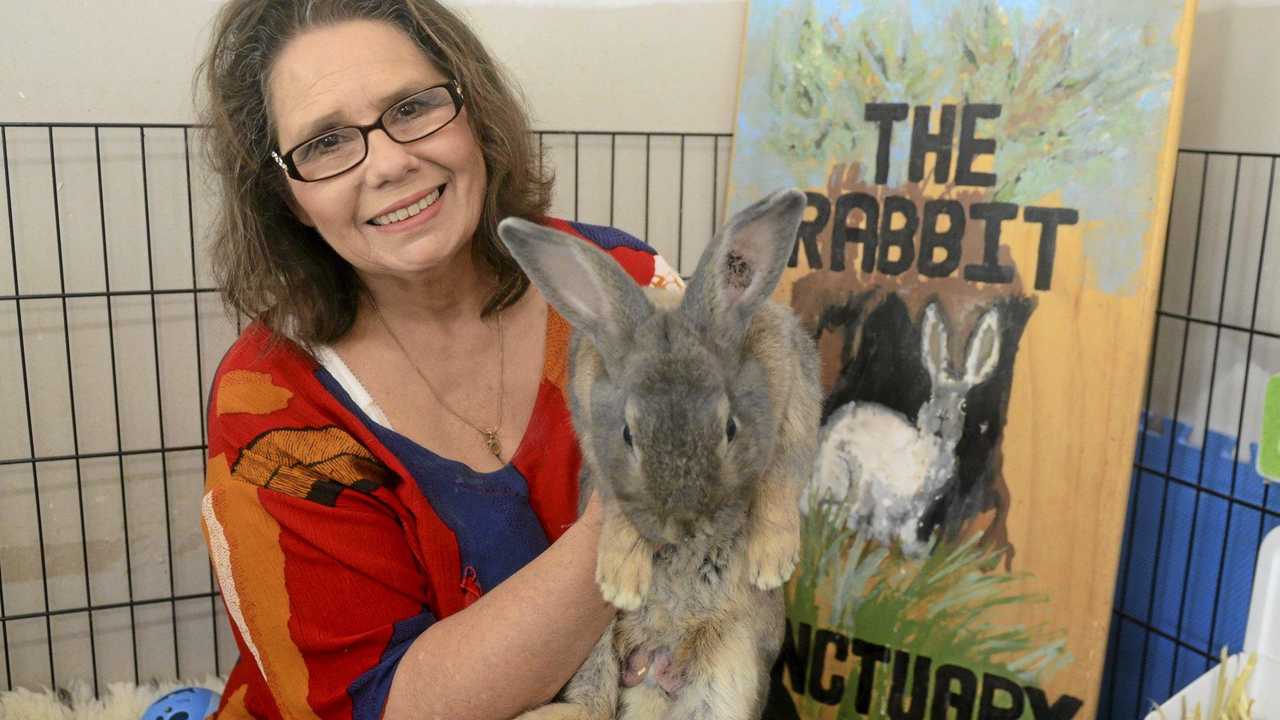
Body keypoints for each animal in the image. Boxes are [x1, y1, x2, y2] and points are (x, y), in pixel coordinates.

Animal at [496, 189, 819, 717]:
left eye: (729, 427)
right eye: (628, 434)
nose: (682, 524)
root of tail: (655, 661)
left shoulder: (795, 396)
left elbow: (781, 478)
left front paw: (772, 562)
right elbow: (615, 503)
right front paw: (620, 578)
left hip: (725, 669)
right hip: (592, 651)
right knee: (592, 705)